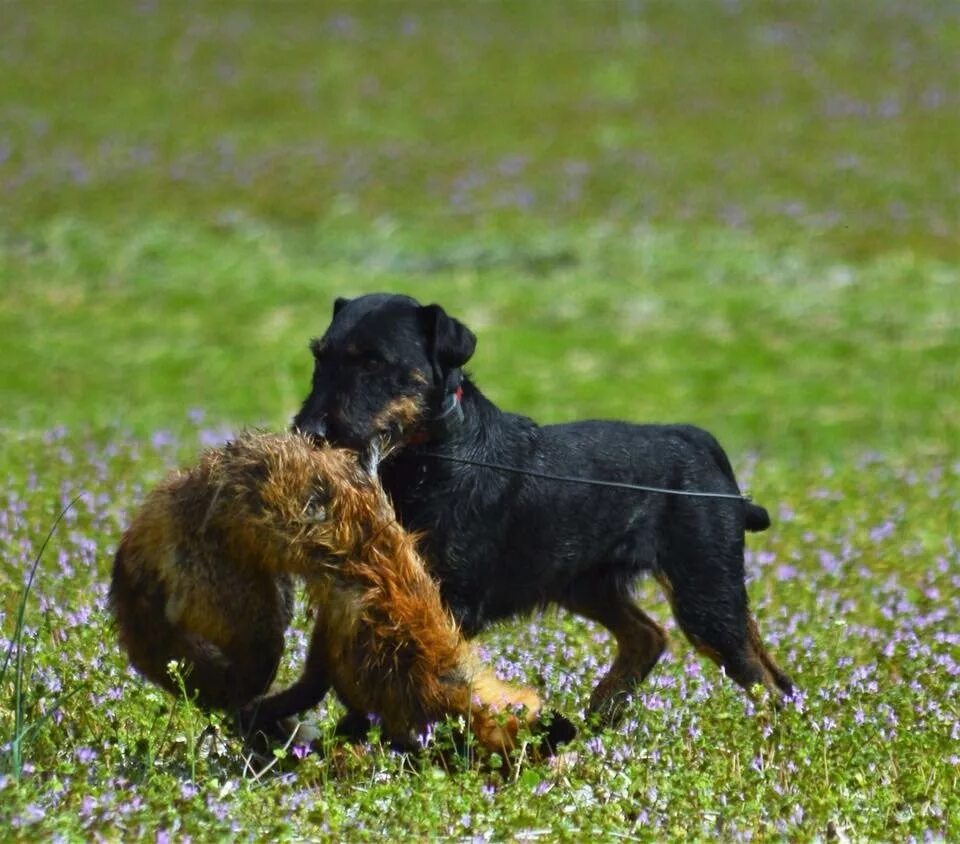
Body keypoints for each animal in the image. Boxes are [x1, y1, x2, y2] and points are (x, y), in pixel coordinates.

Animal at [292, 294, 796, 724]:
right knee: (652, 637)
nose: (309, 430)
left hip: (703, 591)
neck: (430, 456)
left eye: (374, 362)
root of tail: (702, 443)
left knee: (762, 678)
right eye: (319, 357)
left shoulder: (451, 598)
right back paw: (600, 714)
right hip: (590, 585)